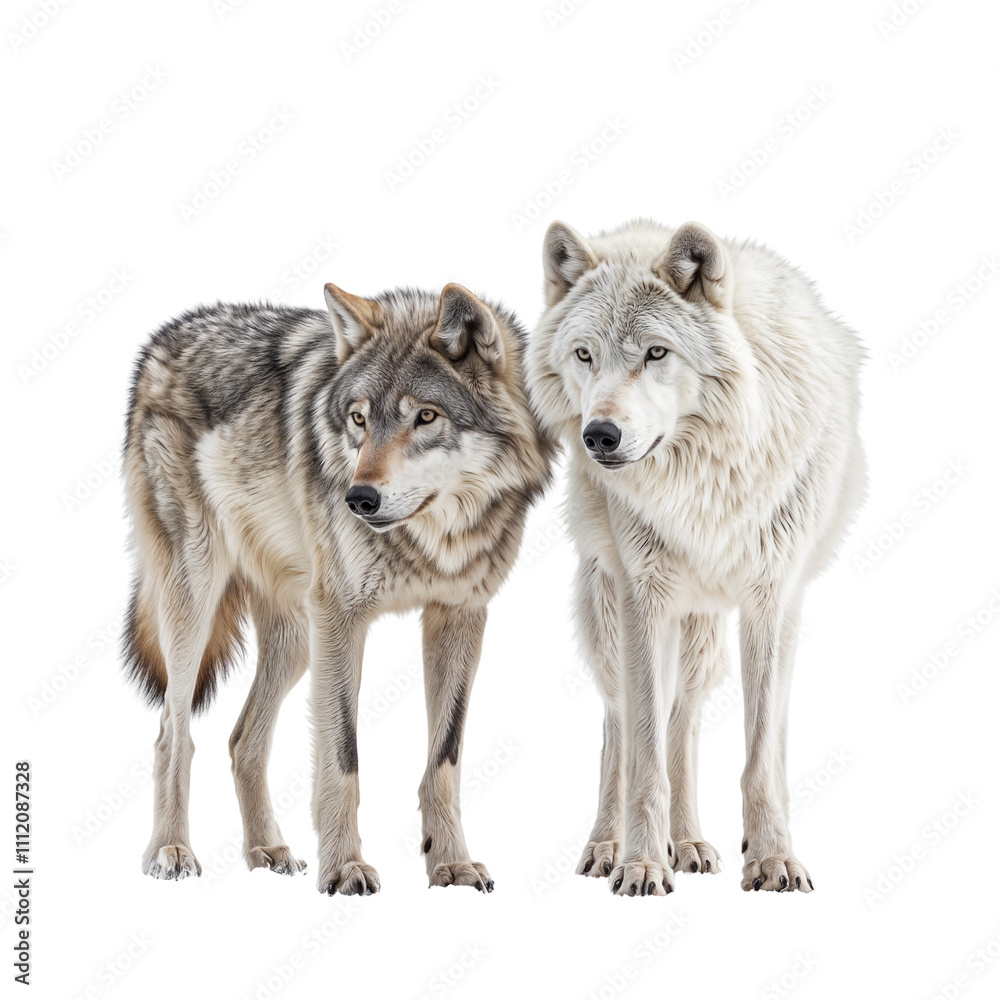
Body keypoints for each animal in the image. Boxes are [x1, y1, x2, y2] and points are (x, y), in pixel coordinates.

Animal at [122, 282, 551, 895]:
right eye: (358, 419)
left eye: (425, 417)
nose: (358, 499)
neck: (432, 539)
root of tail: (161, 339)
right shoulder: (343, 618)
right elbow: (342, 757)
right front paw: (345, 867)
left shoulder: (460, 614)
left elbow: (444, 758)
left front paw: (451, 864)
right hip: (199, 602)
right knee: (171, 732)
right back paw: (171, 851)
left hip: (298, 636)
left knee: (242, 739)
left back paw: (269, 851)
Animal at [528, 219, 866, 894]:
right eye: (584, 355)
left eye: (656, 353)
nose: (599, 436)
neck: (707, 475)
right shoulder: (644, 596)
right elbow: (643, 751)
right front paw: (639, 865)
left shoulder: (772, 598)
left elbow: (762, 755)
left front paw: (773, 858)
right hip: (614, 608)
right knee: (621, 724)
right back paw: (609, 846)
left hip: (709, 628)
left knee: (684, 721)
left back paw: (689, 844)